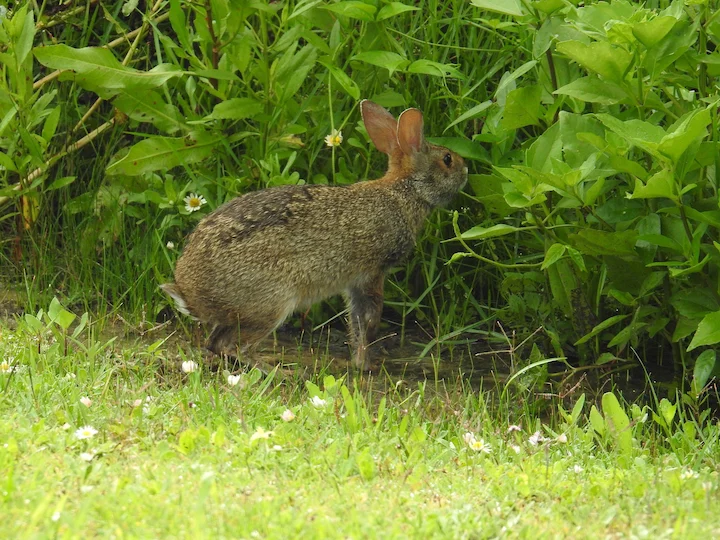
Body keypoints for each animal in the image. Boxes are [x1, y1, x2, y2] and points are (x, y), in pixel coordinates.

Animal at [161, 100, 468, 372]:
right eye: (447, 159)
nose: (466, 171)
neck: (404, 190)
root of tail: (190, 293)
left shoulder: (355, 282)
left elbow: (356, 321)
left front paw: (359, 364)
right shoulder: (372, 272)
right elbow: (369, 320)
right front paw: (366, 366)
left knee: (214, 343)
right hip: (272, 303)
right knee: (232, 345)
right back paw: (280, 371)